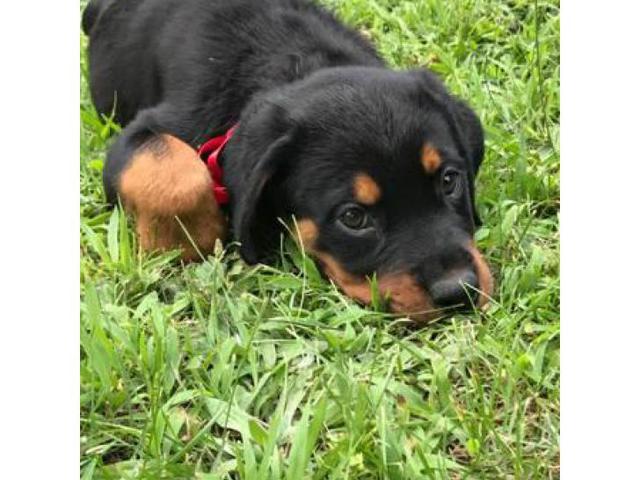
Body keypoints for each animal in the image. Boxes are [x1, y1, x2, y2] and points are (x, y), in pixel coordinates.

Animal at [82, 0, 492, 322]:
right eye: (353, 218)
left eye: (449, 180)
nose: (459, 291)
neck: (292, 61)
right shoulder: (143, 132)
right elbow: (175, 178)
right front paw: (183, 246)